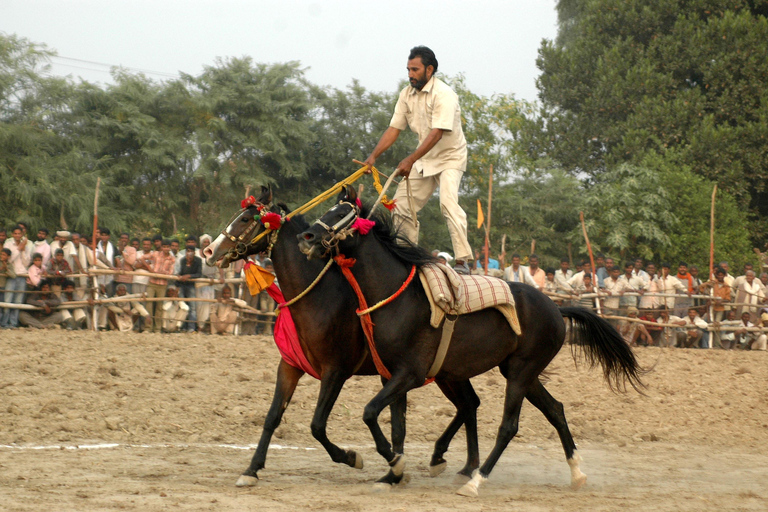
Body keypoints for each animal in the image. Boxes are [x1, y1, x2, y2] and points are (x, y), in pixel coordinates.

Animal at [204, 186, 480, 486]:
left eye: (245, 219)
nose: (209, 250)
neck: (318, 297)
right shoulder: (289, 366)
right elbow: (272, 417)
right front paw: (251, 469)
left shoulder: (335, 371)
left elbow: (317, 425)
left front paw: (351, 457)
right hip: (445, 372)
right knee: (468, 405)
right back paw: (459, 464)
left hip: (445, 371)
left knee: (468, 405)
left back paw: (451, 462)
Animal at [296, 186, 644, 498]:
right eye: (328, 209)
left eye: (341, 214)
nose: (307, 237)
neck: (397, 296)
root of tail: (556, 308)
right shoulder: (390, 376)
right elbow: (397, 427)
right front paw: (392, 474)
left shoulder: (409, 374)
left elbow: (369, 412)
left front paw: (393, 464)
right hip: (520, 373)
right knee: (555, 410)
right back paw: (576, 473)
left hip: (520, 372)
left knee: (508, 426)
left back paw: (476, 480)